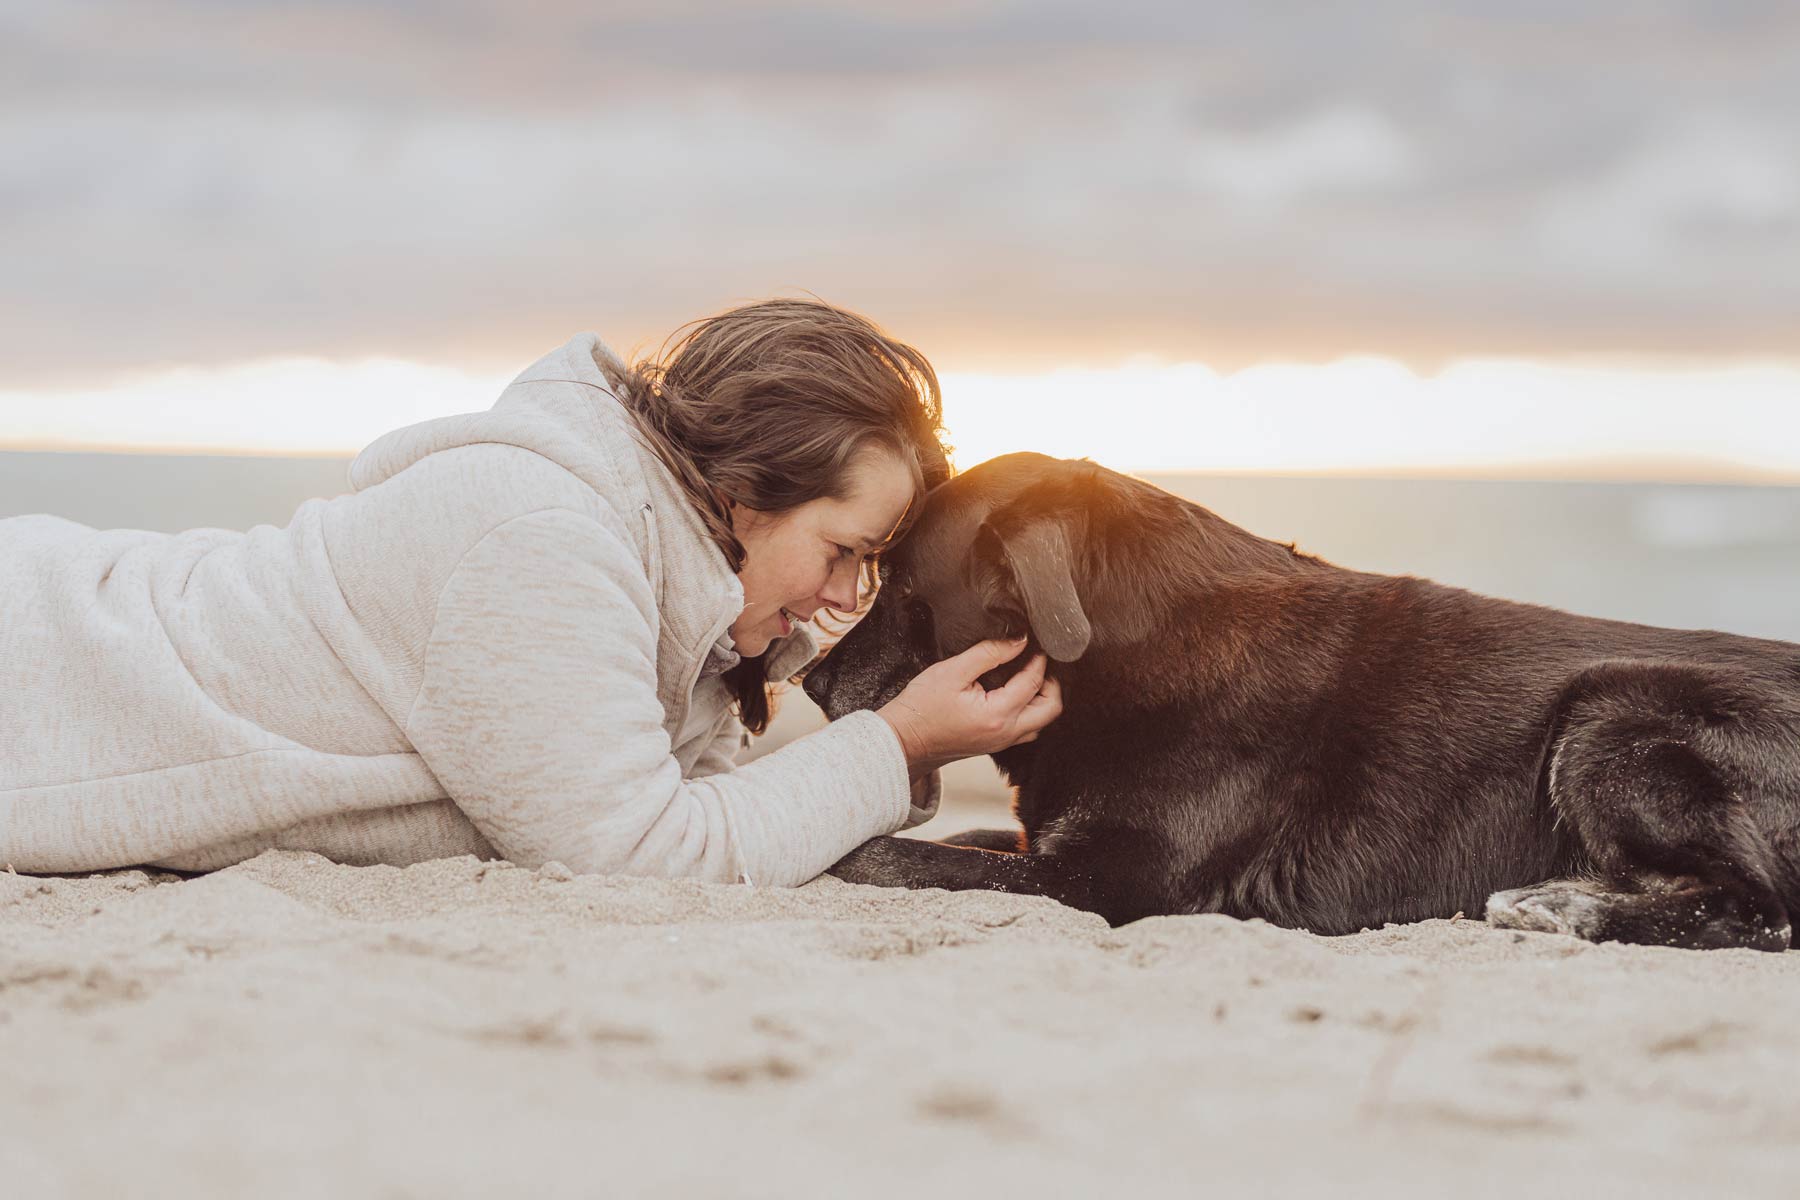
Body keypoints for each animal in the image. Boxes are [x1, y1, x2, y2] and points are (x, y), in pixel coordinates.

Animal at [810, 455, 1800, 949]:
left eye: (902, 586)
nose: (812, 683)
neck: (1132, 650)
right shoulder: (1051, 844)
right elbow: (965, 839)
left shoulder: (1111, 881)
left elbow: (889, 854)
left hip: (1613, 714)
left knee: (1761, 912)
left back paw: (1572, 910)